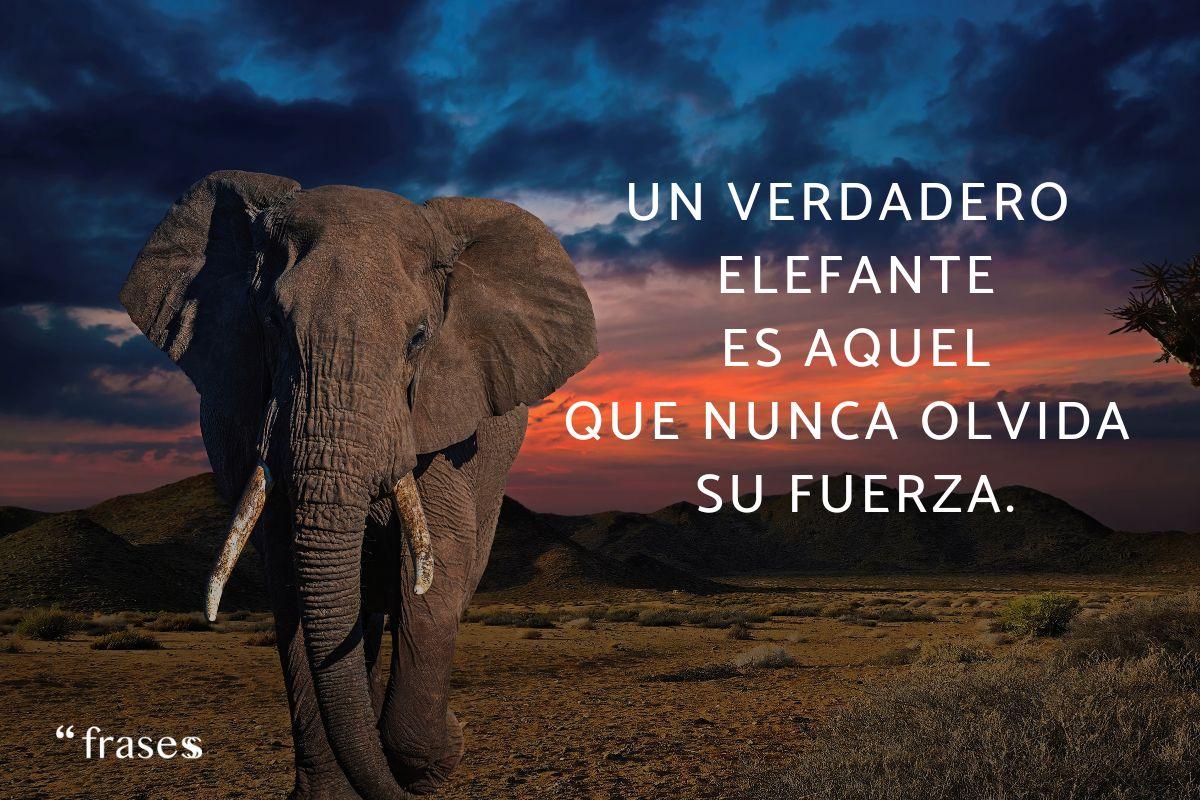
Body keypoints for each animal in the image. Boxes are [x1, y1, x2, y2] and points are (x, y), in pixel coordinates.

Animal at [119, 170, 597, 799]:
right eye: (272, 324)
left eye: (419, 338)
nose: (459, 732)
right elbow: (292, 574)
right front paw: (337, 789)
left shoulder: (438, 417)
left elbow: (439, 561)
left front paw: (434, 759)